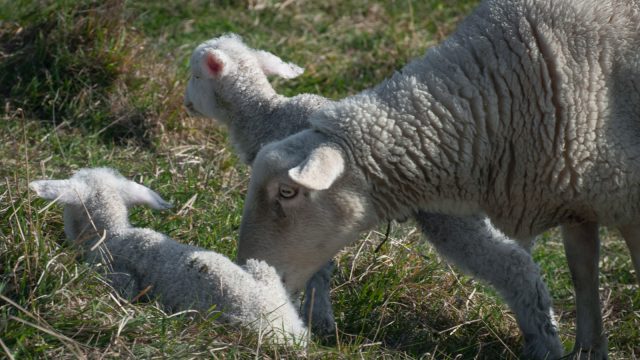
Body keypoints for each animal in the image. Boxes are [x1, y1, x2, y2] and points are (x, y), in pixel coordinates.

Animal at [182, 33, 564, 358]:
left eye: (195, 75)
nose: (185, 104)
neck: (264, 113)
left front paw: (315, 319)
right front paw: (322, 320)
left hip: (449, 218)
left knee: (514, 265)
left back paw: (544, 341)